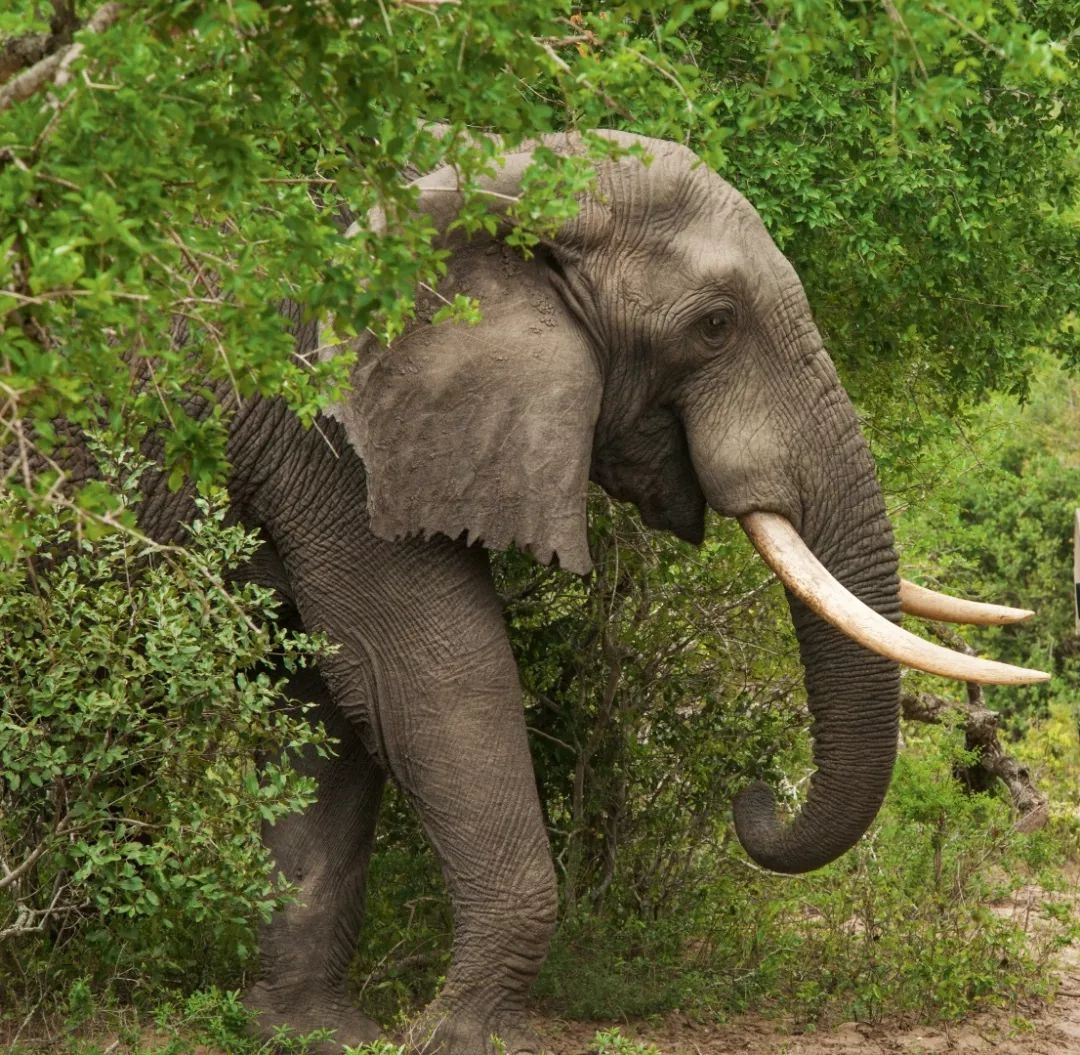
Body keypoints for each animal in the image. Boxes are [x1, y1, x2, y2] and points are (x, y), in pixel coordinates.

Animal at [111, 129, 1045, 1053]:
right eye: (715, 326)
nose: (754, 797)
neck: (488, 176)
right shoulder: (328, 431)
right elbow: (428, 673)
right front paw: (462, 1037)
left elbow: (331, 699)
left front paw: (309, 1032)